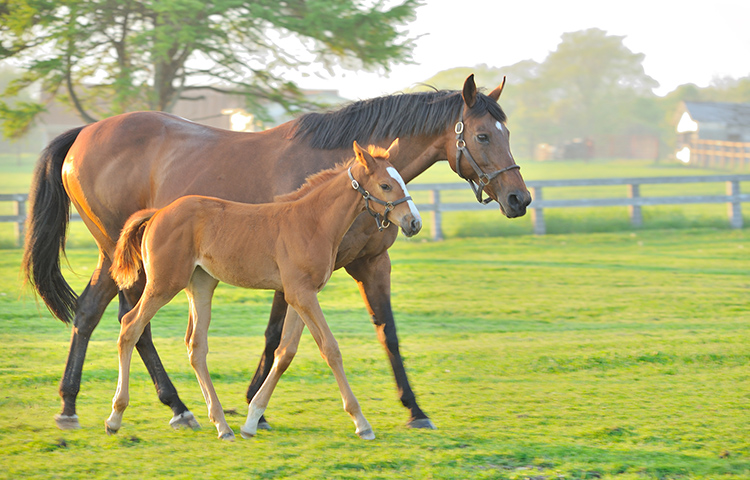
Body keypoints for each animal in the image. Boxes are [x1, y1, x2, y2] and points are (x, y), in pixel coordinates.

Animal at [105, 140, 419, 440]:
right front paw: (361, 422)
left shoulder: (302, 294)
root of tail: (157, 213)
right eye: (385, 185)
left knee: (196, 347)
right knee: (130, 326)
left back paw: (223, 425)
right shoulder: (301, 294)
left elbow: (286, 352)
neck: (313, 222)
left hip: (201, 284)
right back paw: (115, 417)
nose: (413, 222)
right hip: (164, 284)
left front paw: (252, 420)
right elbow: (330, 348)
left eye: (401, 181)